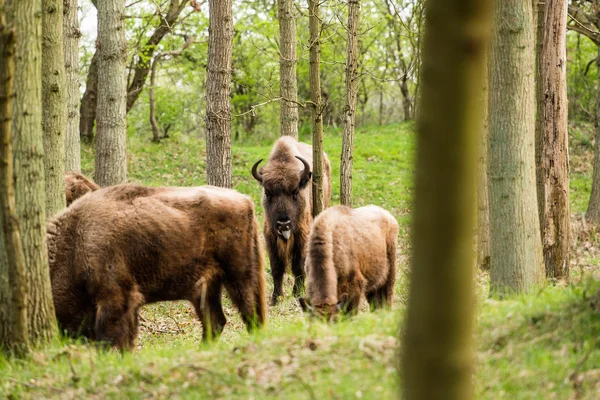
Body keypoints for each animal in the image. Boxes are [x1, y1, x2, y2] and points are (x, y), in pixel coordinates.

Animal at [48, 184, 268, 350]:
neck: (75, 239)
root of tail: (245, 200)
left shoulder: (115, 299)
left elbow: (110, 337)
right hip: (206, 287)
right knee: (215, 321)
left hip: (238, 275)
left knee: (251, 313)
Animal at [250, 136, 330, 304]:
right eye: (268, 193)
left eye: (295, 192)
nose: (283, 224)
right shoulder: (270, 236)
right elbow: (276, 267)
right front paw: (276, 298)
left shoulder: (302, 235)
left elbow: (298, 265)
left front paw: (297, 293)